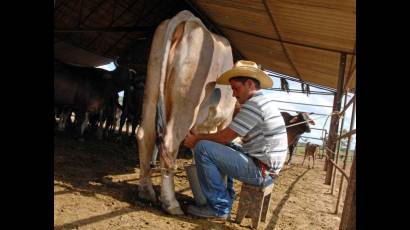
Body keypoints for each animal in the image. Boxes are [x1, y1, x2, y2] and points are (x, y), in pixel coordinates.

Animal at [136, 10, 235, 216]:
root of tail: (187, 17)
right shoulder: (224, 121)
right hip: (187, 101)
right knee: (169, 142)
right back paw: (171, 203)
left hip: (152, 87)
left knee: (145, 135)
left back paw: (146, 191)